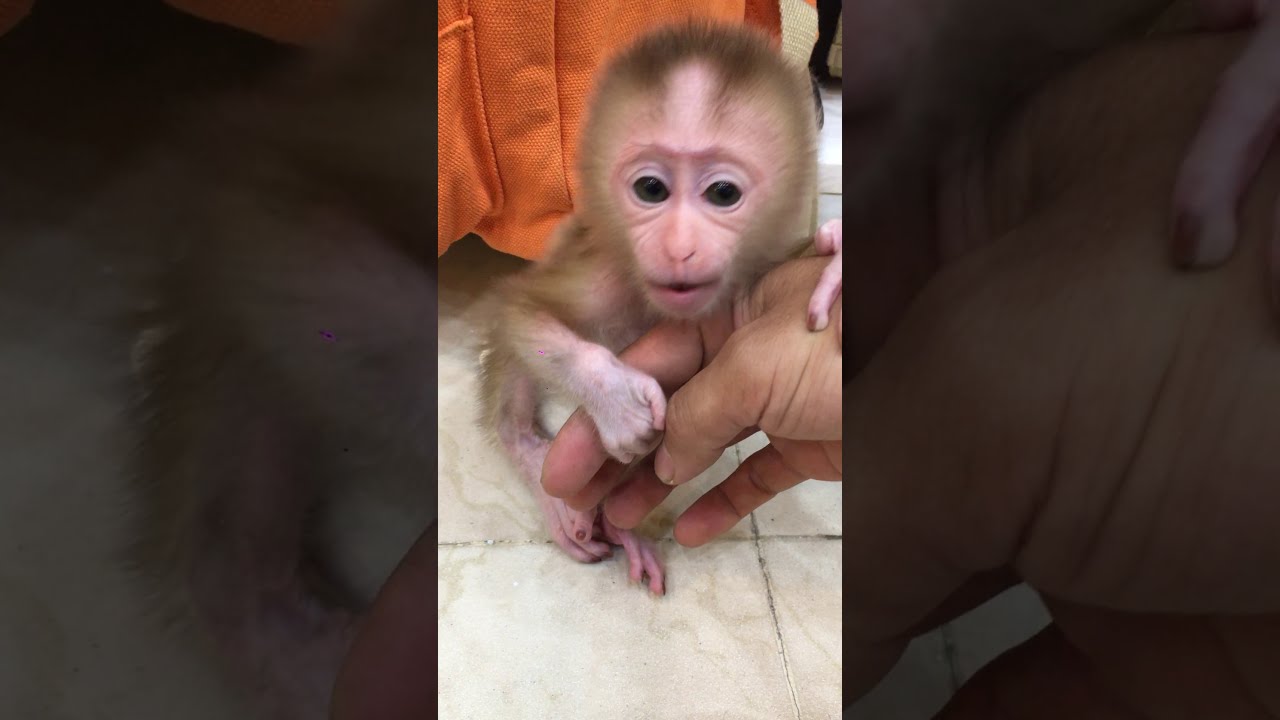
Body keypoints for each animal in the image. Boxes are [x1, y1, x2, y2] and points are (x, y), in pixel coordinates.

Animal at [474, 21, 842, 597]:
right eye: (651, 189)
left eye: (722, 193)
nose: (679, 247)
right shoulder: (602, 276)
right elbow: (518, 310)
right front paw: (613, 397)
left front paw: (835, 258)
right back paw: (537, 463)